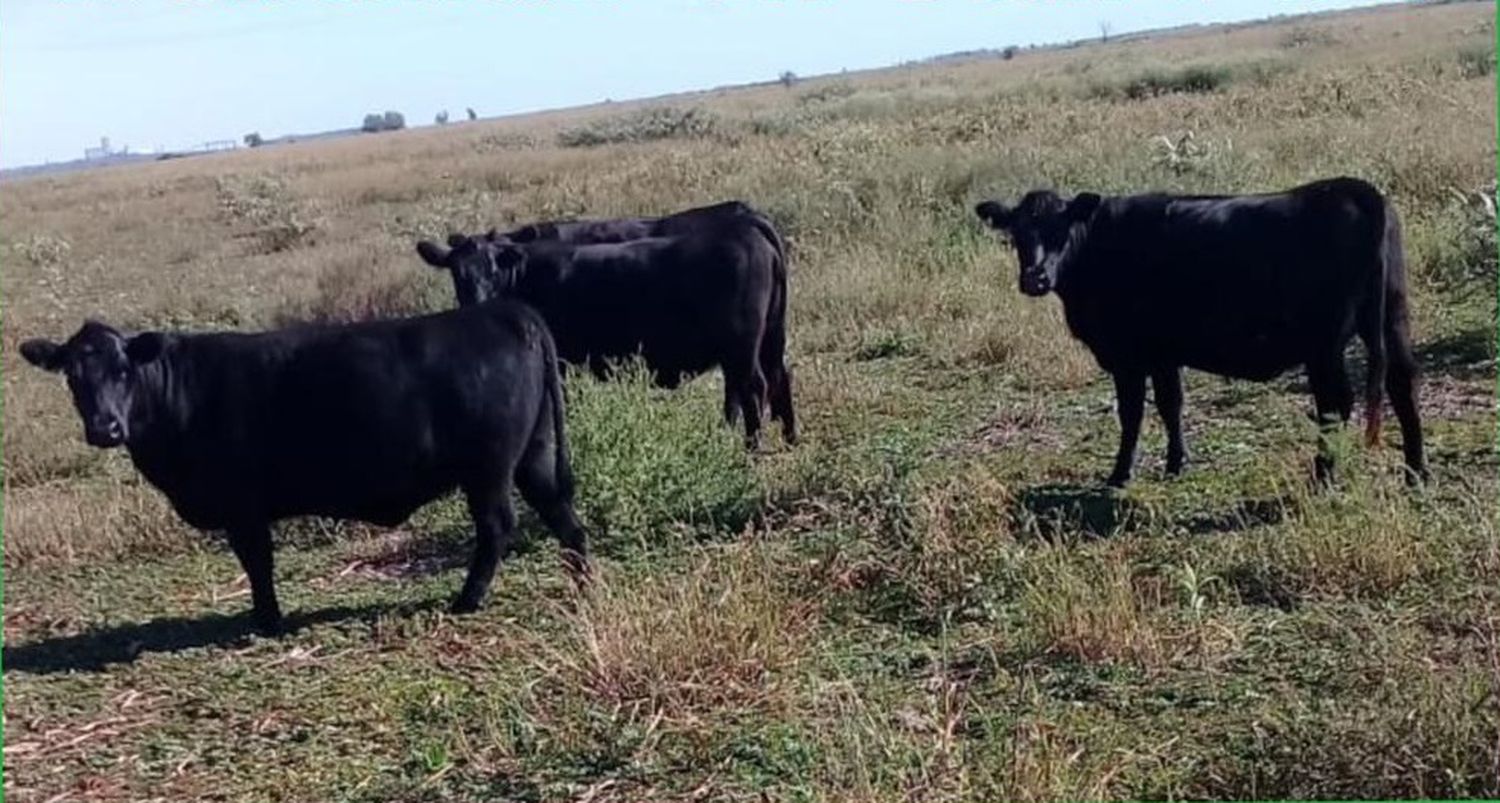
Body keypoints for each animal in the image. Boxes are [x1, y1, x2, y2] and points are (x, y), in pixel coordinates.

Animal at [21, 301, 591, 633]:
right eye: (72, 377)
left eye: (123, 370)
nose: (106, 428)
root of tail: (502, 312)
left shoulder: (242, 506)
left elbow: (258, 562)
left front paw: (266, 618)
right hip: (533, 456)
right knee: (565, 517)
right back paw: (581, 582)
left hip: (488, 469)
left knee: (497, 526)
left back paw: (468, 600)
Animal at [414, 216, 798, 450]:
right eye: (457, 273)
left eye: (494, 268)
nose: (476, 303)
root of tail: (747, 230)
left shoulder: (560, 360)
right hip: (770, 335)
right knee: (779, 376)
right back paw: (789, 439)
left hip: (741, 346)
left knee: (754, 388)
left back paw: (751, 451)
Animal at [978, 175, 1422, 486]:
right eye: (1016, 234)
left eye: (1060, 229)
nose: (1034, 278)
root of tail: (1358, 190)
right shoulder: (1163, 353)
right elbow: (1171, 404)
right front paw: (1177, 463)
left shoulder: (1127, 355)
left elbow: (1132, 413)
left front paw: (1120, 474)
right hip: (1393, 319)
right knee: (1402, 385)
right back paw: (1417, 475)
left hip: (1324, 345)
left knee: (1336, 405)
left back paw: (1324, 477)